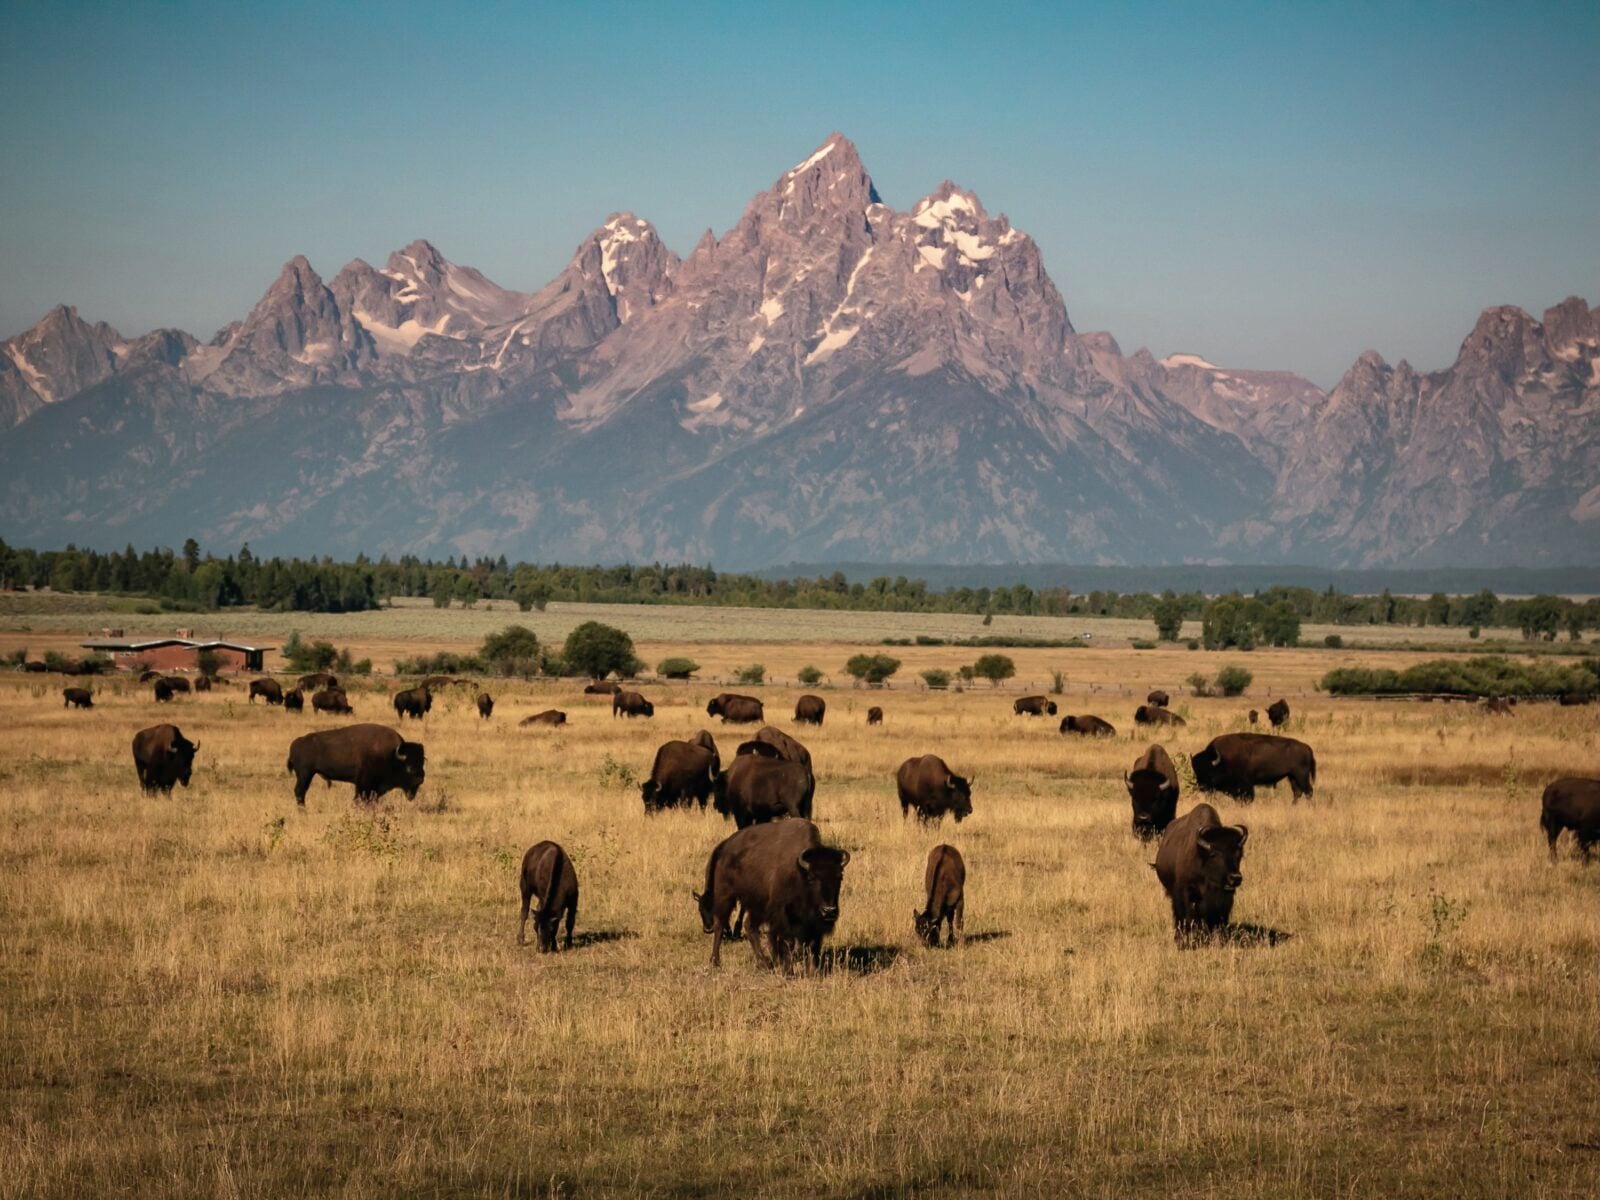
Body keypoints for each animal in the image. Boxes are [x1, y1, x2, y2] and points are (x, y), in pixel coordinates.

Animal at [286, 723, 424, 806]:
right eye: (409, 767)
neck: (391, 755)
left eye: (422, 762)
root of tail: (296, 743)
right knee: (300, 791)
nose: (420, 779)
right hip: (305, 774)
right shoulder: (364, 784)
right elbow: (360, 798)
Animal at [696, 818, 849, 970]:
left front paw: (812, 971)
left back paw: (764, 963)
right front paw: (788, 970)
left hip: (757, 904)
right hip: (726, 896)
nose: (829, 911)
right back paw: (715, 961)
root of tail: (723, 847)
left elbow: (811, 944)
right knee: (720, 925)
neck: (798, 871)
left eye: (840, 877)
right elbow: (788, 941)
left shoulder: (812, 923)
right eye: (811, 878)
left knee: (749, 927)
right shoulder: (782, 915)